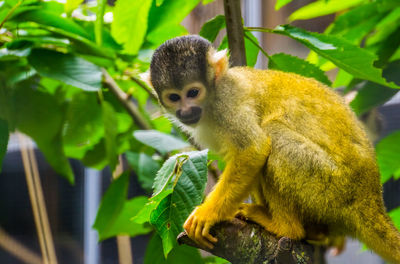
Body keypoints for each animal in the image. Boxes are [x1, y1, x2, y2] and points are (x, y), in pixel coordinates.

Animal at [143, 35, 400, 264]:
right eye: (174, 97)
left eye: (193, 92)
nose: (185, 111)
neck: (214, 96)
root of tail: (371, 198)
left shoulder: (228, 104)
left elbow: (253, 149)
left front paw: (207, 213)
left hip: (335, 187)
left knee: (273, 134)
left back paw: (286, 227)